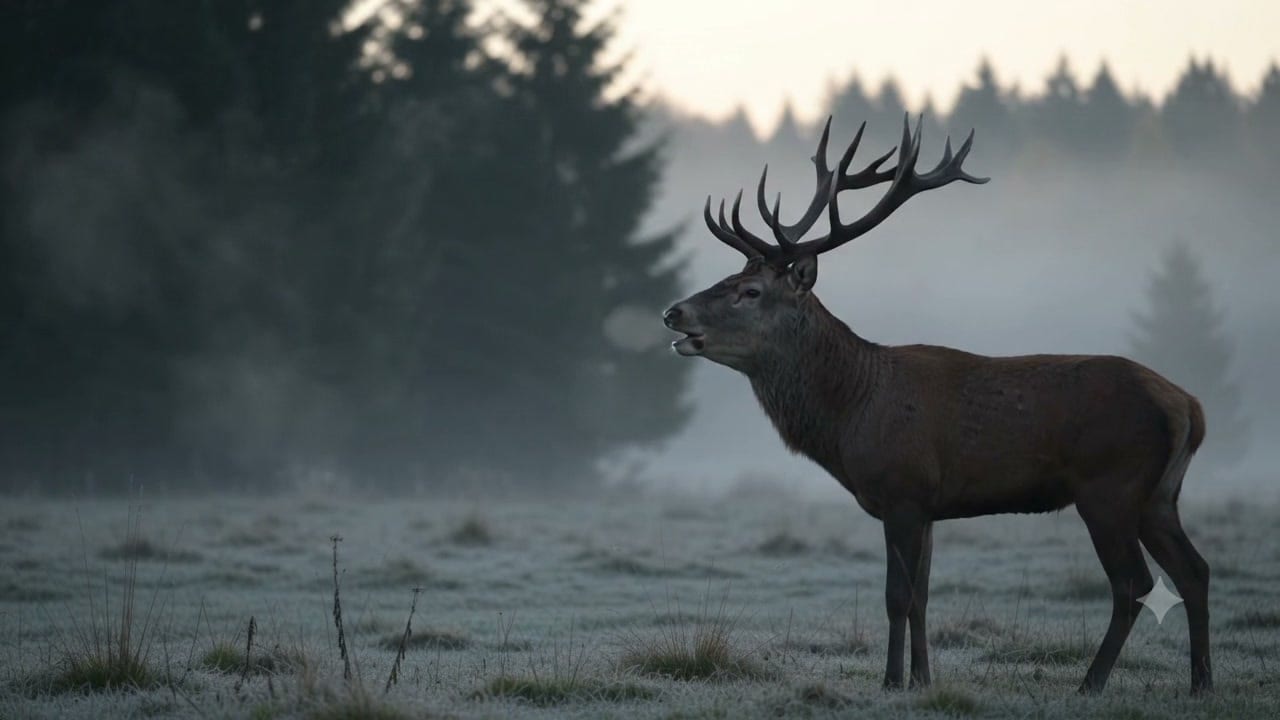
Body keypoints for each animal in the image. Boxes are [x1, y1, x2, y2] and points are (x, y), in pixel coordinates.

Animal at [663, 115, 1211, 695]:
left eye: (749, 291)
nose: (674, 312)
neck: (850, 414)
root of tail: (1189, 406)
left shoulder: (902, 490)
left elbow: (896, 596)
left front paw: (890, 680)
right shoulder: (928, 506)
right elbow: (922, 597)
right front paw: (922, 678)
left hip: (1109, 486)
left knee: (1134, 582)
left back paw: (1093, 682)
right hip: (1159, 495)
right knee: (1194, 570)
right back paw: (1200, 682)